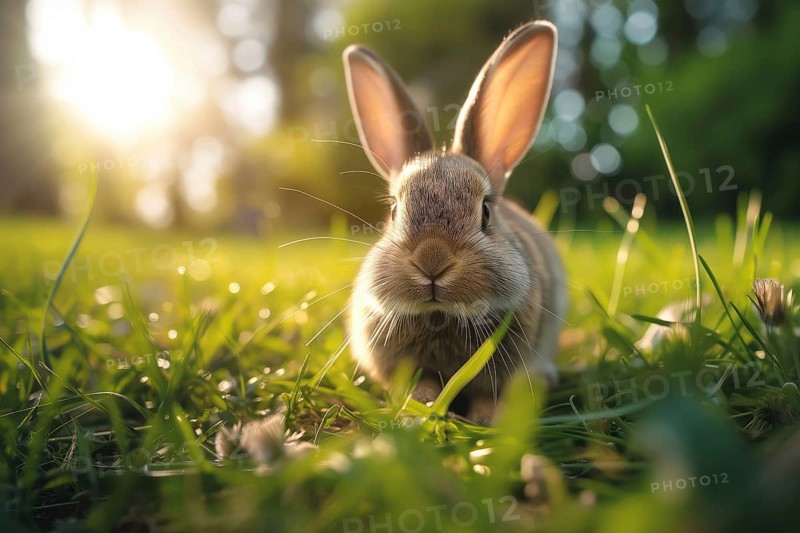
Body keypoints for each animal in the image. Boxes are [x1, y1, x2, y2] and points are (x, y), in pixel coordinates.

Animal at [344, 21, 567, 425]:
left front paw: (484, 420)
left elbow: (487, 395)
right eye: (394, 210)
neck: (441, 316)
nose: (432, 263)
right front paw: (418, 412)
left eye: (486, 212)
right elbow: (422, 385)